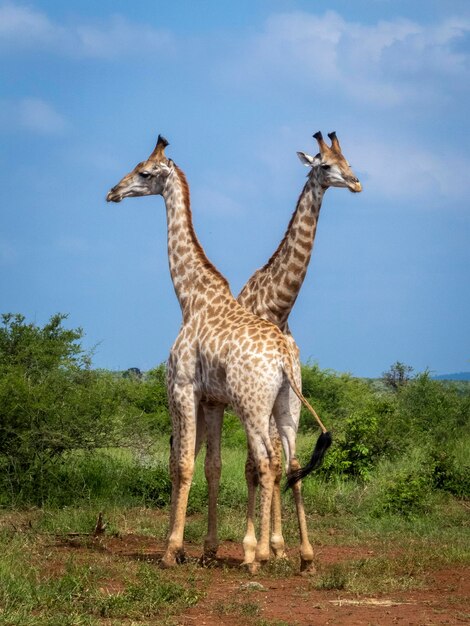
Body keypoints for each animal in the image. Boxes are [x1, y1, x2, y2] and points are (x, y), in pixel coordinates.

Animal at [107, 136, 330, 572]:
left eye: (144, 172)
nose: (113, 192)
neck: (191, 298)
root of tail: (283, 355)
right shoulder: (211, 399)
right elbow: (210, 465)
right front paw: (203, 548)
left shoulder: (182, 388)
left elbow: (183, 464)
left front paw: (172, 551)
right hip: (287, 405)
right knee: (291, 463)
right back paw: (305, 556)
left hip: (253, 404)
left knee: (264, 461)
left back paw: (257, 554)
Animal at [199, 129, 364, 568]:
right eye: (327, 165)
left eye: (350, 161)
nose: (356, 183)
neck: (277, 305)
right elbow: (256, 467)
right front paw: (263, 546)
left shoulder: (283, 394)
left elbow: (281, 464)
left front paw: (281, 545)